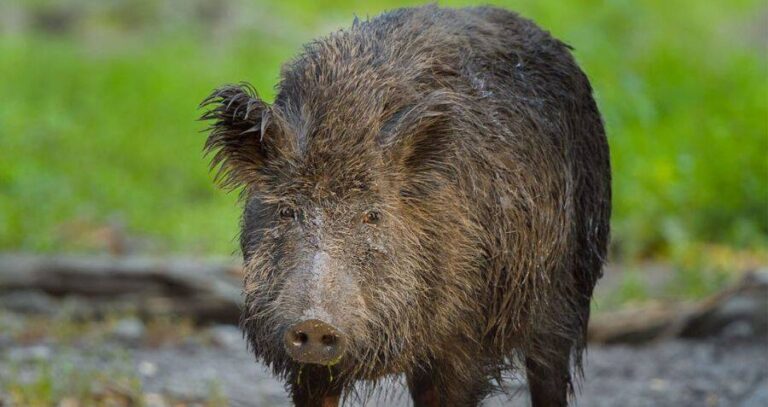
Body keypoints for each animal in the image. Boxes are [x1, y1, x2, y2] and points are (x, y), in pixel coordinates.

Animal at [201, 5, 610, 407]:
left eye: (372, 215)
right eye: (287, 211)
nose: (315, 324)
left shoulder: (465, 339)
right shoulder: (308, 368)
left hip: (570, 284)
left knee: (549, 371)